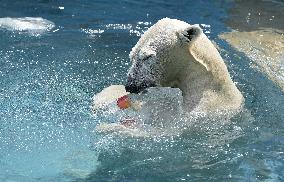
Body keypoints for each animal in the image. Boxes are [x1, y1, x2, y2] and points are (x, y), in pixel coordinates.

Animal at [92, 18, 243, 134]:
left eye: (146, 57)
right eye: (132, 56)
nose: (130, 86)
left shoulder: (196, 112)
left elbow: (161, 130)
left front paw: (107, 127)